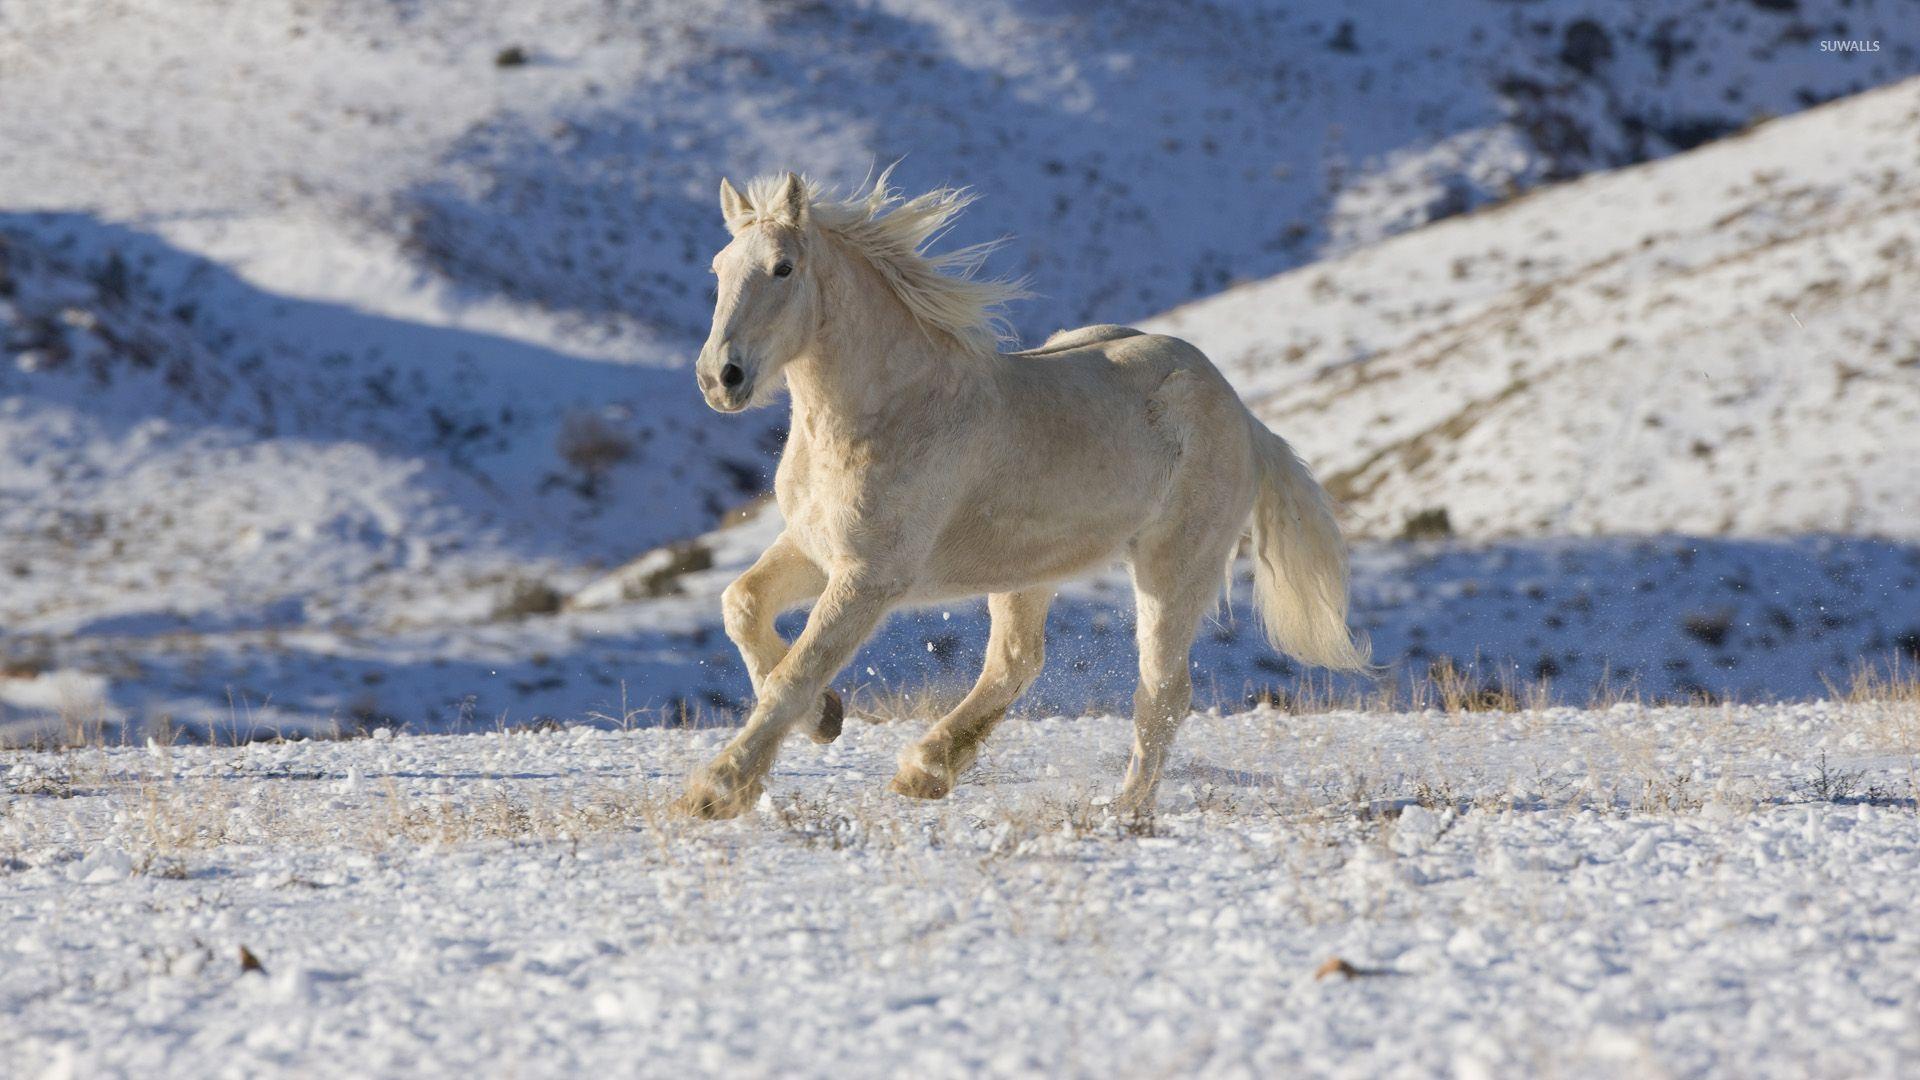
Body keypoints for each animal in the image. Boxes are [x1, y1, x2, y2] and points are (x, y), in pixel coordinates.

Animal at [679, 168, 1369, 818]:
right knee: (1017, 660)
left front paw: (715, 791)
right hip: (1027, 569)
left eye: (783, 267)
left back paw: (1125, 810)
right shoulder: (813, 546)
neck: (891, 410)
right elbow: (742, 606)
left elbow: (797, 671)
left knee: (1162, 692)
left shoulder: (870, 576)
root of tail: (1245, 416)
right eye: (718, 268)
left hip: (1175, 567)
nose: (720, 378)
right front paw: (825, 718)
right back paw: (925, 772)